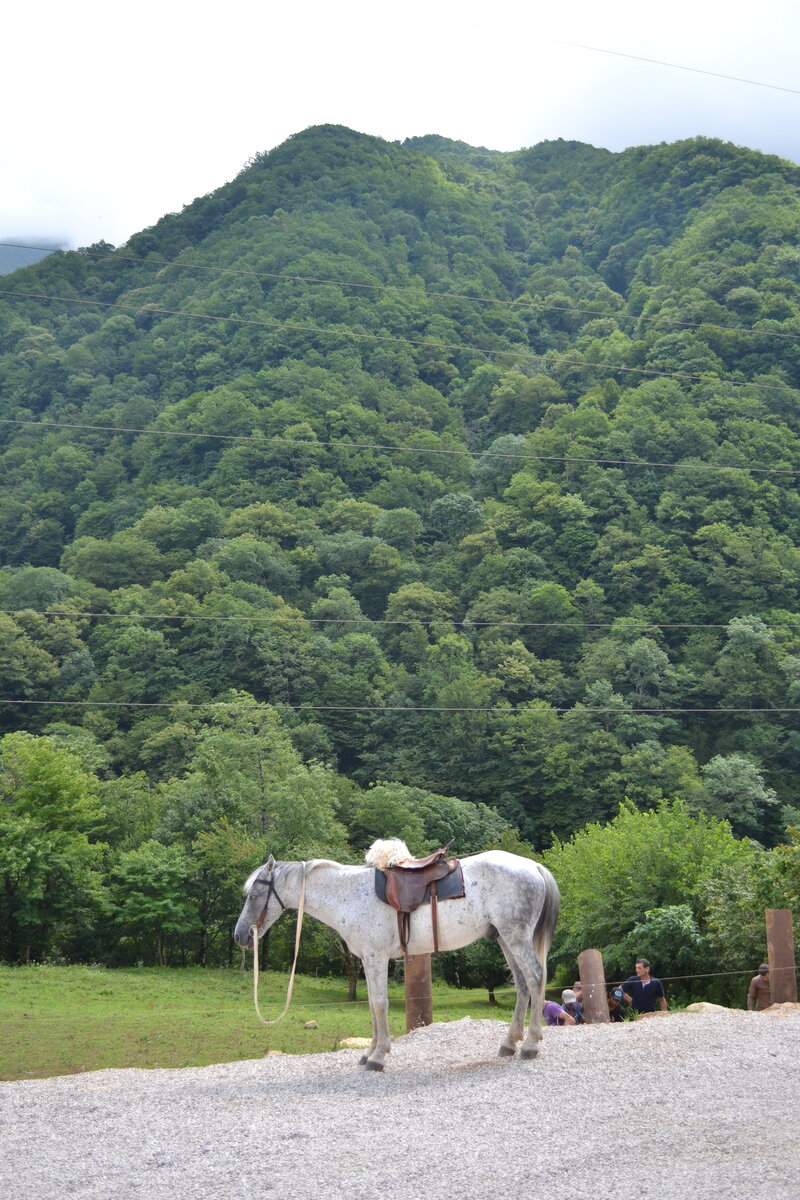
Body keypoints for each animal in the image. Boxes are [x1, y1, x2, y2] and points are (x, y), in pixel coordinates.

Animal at [235, 844, 561, 1070]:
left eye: (253, 896)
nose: (240, 936)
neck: (348, 896)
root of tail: (533, 866)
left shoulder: (376, 957)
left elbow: (379, 1004)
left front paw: (378, 1056)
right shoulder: (367, 960)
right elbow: (372, 1005)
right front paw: (369, 1052)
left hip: (516, 936)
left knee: (534, 978)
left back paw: (530, 1044)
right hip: (505, 938)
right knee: (521, 984)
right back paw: (509, 1043)